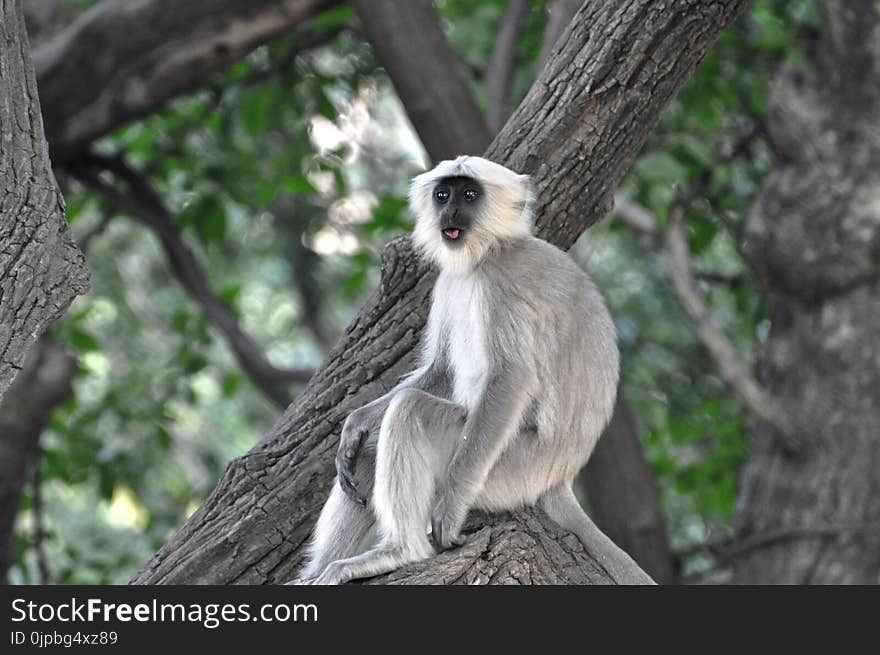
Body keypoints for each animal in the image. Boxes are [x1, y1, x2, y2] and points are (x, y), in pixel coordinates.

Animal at [296, 156, 652, 588]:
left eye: (468, 194)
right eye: (442, 194)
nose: (449, 212)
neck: (489, 252)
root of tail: (559, 478)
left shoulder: (502, 285)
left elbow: (511, 378)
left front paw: (448, 513)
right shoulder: (449, 282)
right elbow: (443, 372)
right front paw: (358, 421)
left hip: (509, 469)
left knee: (412, 410)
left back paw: (400, 551)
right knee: (371, 445)